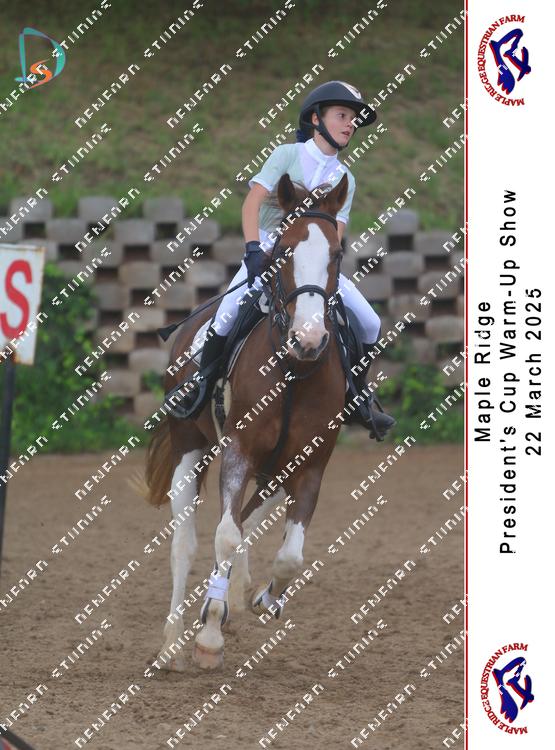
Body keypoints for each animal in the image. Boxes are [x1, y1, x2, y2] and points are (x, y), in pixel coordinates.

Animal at [144, 172, 353, 670]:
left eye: (337, 253)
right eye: (284, 252)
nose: (309, 338)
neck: (293, 369)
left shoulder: (309, 464)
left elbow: (289, 555)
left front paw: (260, 599)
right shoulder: (238, 451)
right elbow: (222, 536)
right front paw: (208, 638)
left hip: (272, 468)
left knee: (244, 521)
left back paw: (230, 596)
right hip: (188, 446)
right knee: (185, 544)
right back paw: (173, 641)